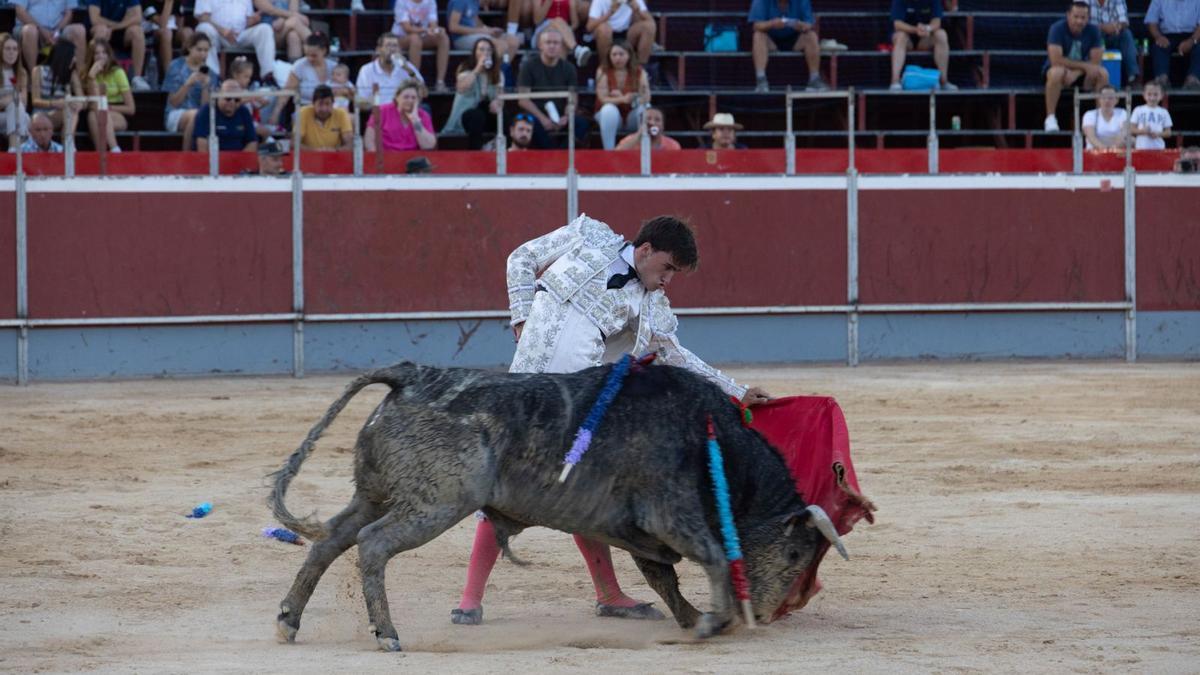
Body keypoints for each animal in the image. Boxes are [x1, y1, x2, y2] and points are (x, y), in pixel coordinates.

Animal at [271, 360, 844, 648]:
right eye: (796, 554)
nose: (766, 614)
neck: (713, 440)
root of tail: (410, 378)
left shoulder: (641, 529)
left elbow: (664, 576)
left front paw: (690, 618)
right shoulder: (670, 514)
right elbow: (713, 557)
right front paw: (712, 622)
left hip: (373, 495)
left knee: (331, 541)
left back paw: (289, 621)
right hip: (437, 503)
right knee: (372, 545)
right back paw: (387, 635)